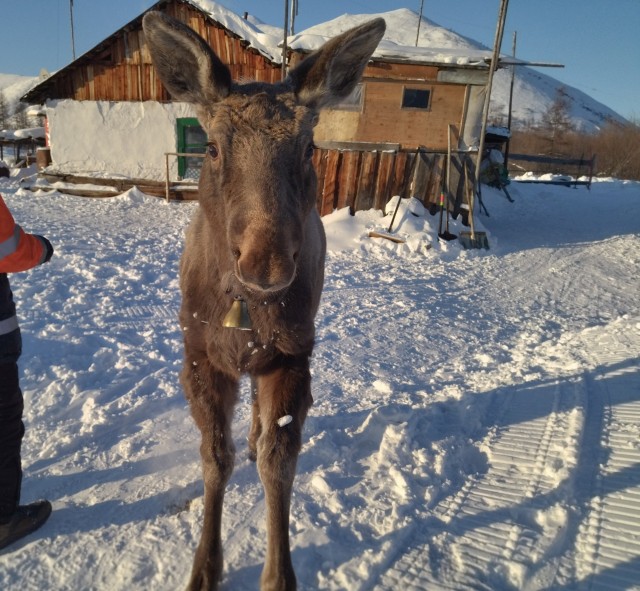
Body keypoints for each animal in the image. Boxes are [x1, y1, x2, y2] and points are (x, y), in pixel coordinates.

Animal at [142, 11, 385, 591]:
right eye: (211, 147)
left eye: (308, 148)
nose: (266, 264)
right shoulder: (198, 354)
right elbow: (215, 457)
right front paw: (203, 570)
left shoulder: (295, 353)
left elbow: (280, 462)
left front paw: (279, 575)